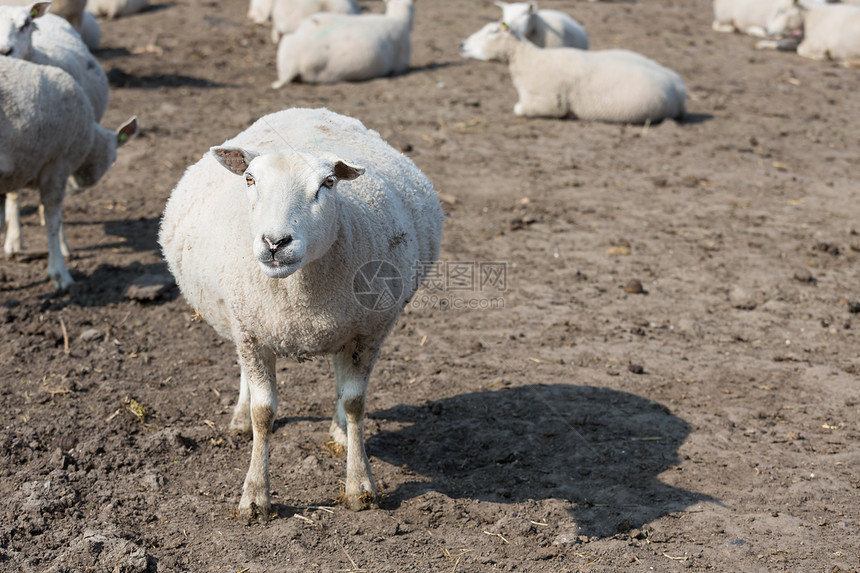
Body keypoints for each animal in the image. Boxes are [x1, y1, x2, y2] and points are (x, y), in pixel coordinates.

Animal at [159, 106, 446, 520]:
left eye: (328, 183)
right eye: (250, 179)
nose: (275, 242)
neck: (299, 297)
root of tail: (305, 110)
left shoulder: (368, 332)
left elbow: (355, 403)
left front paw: (360, 486)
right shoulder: (251, 331)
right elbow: (264, 412)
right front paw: (255, 495)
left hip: (344, 327)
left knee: (340, 380)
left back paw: (339, 431)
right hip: (242, 319)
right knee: (245, 371)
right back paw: (240, 419)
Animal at [460, 23, 688, 125]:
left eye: (492, 31)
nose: (461, 44)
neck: (528, 59)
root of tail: (679, 87)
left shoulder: (545, 103)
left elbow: (519, 109)